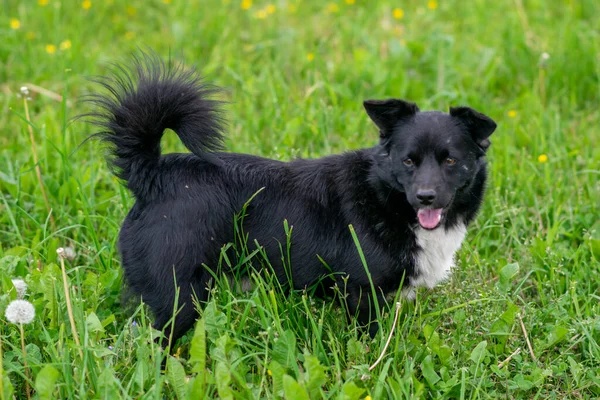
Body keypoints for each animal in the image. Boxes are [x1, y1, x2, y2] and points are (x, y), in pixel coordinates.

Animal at [89, 54, 500, 340]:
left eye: (450, 160)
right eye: (408, 161)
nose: (426, 197)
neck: (385, 197)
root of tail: (153, 175)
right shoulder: (362, 295)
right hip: (177, 299)